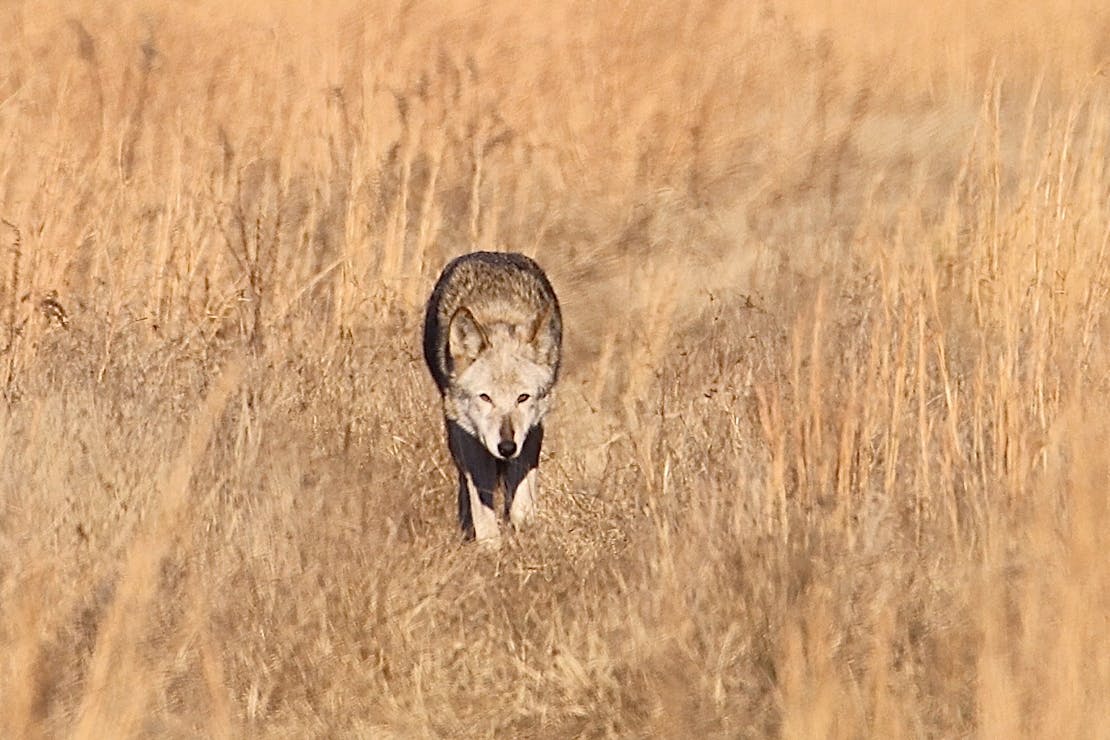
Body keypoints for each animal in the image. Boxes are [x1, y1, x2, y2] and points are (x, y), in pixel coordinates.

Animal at [424, 252, 563, 543]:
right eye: (485, 397)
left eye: (523, 398)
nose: (506, 447)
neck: (498, 316)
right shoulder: (467, 434)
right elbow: (481, 498)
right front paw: (491, 546)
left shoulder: (532, 432)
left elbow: (521, 500)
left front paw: (524, 534)